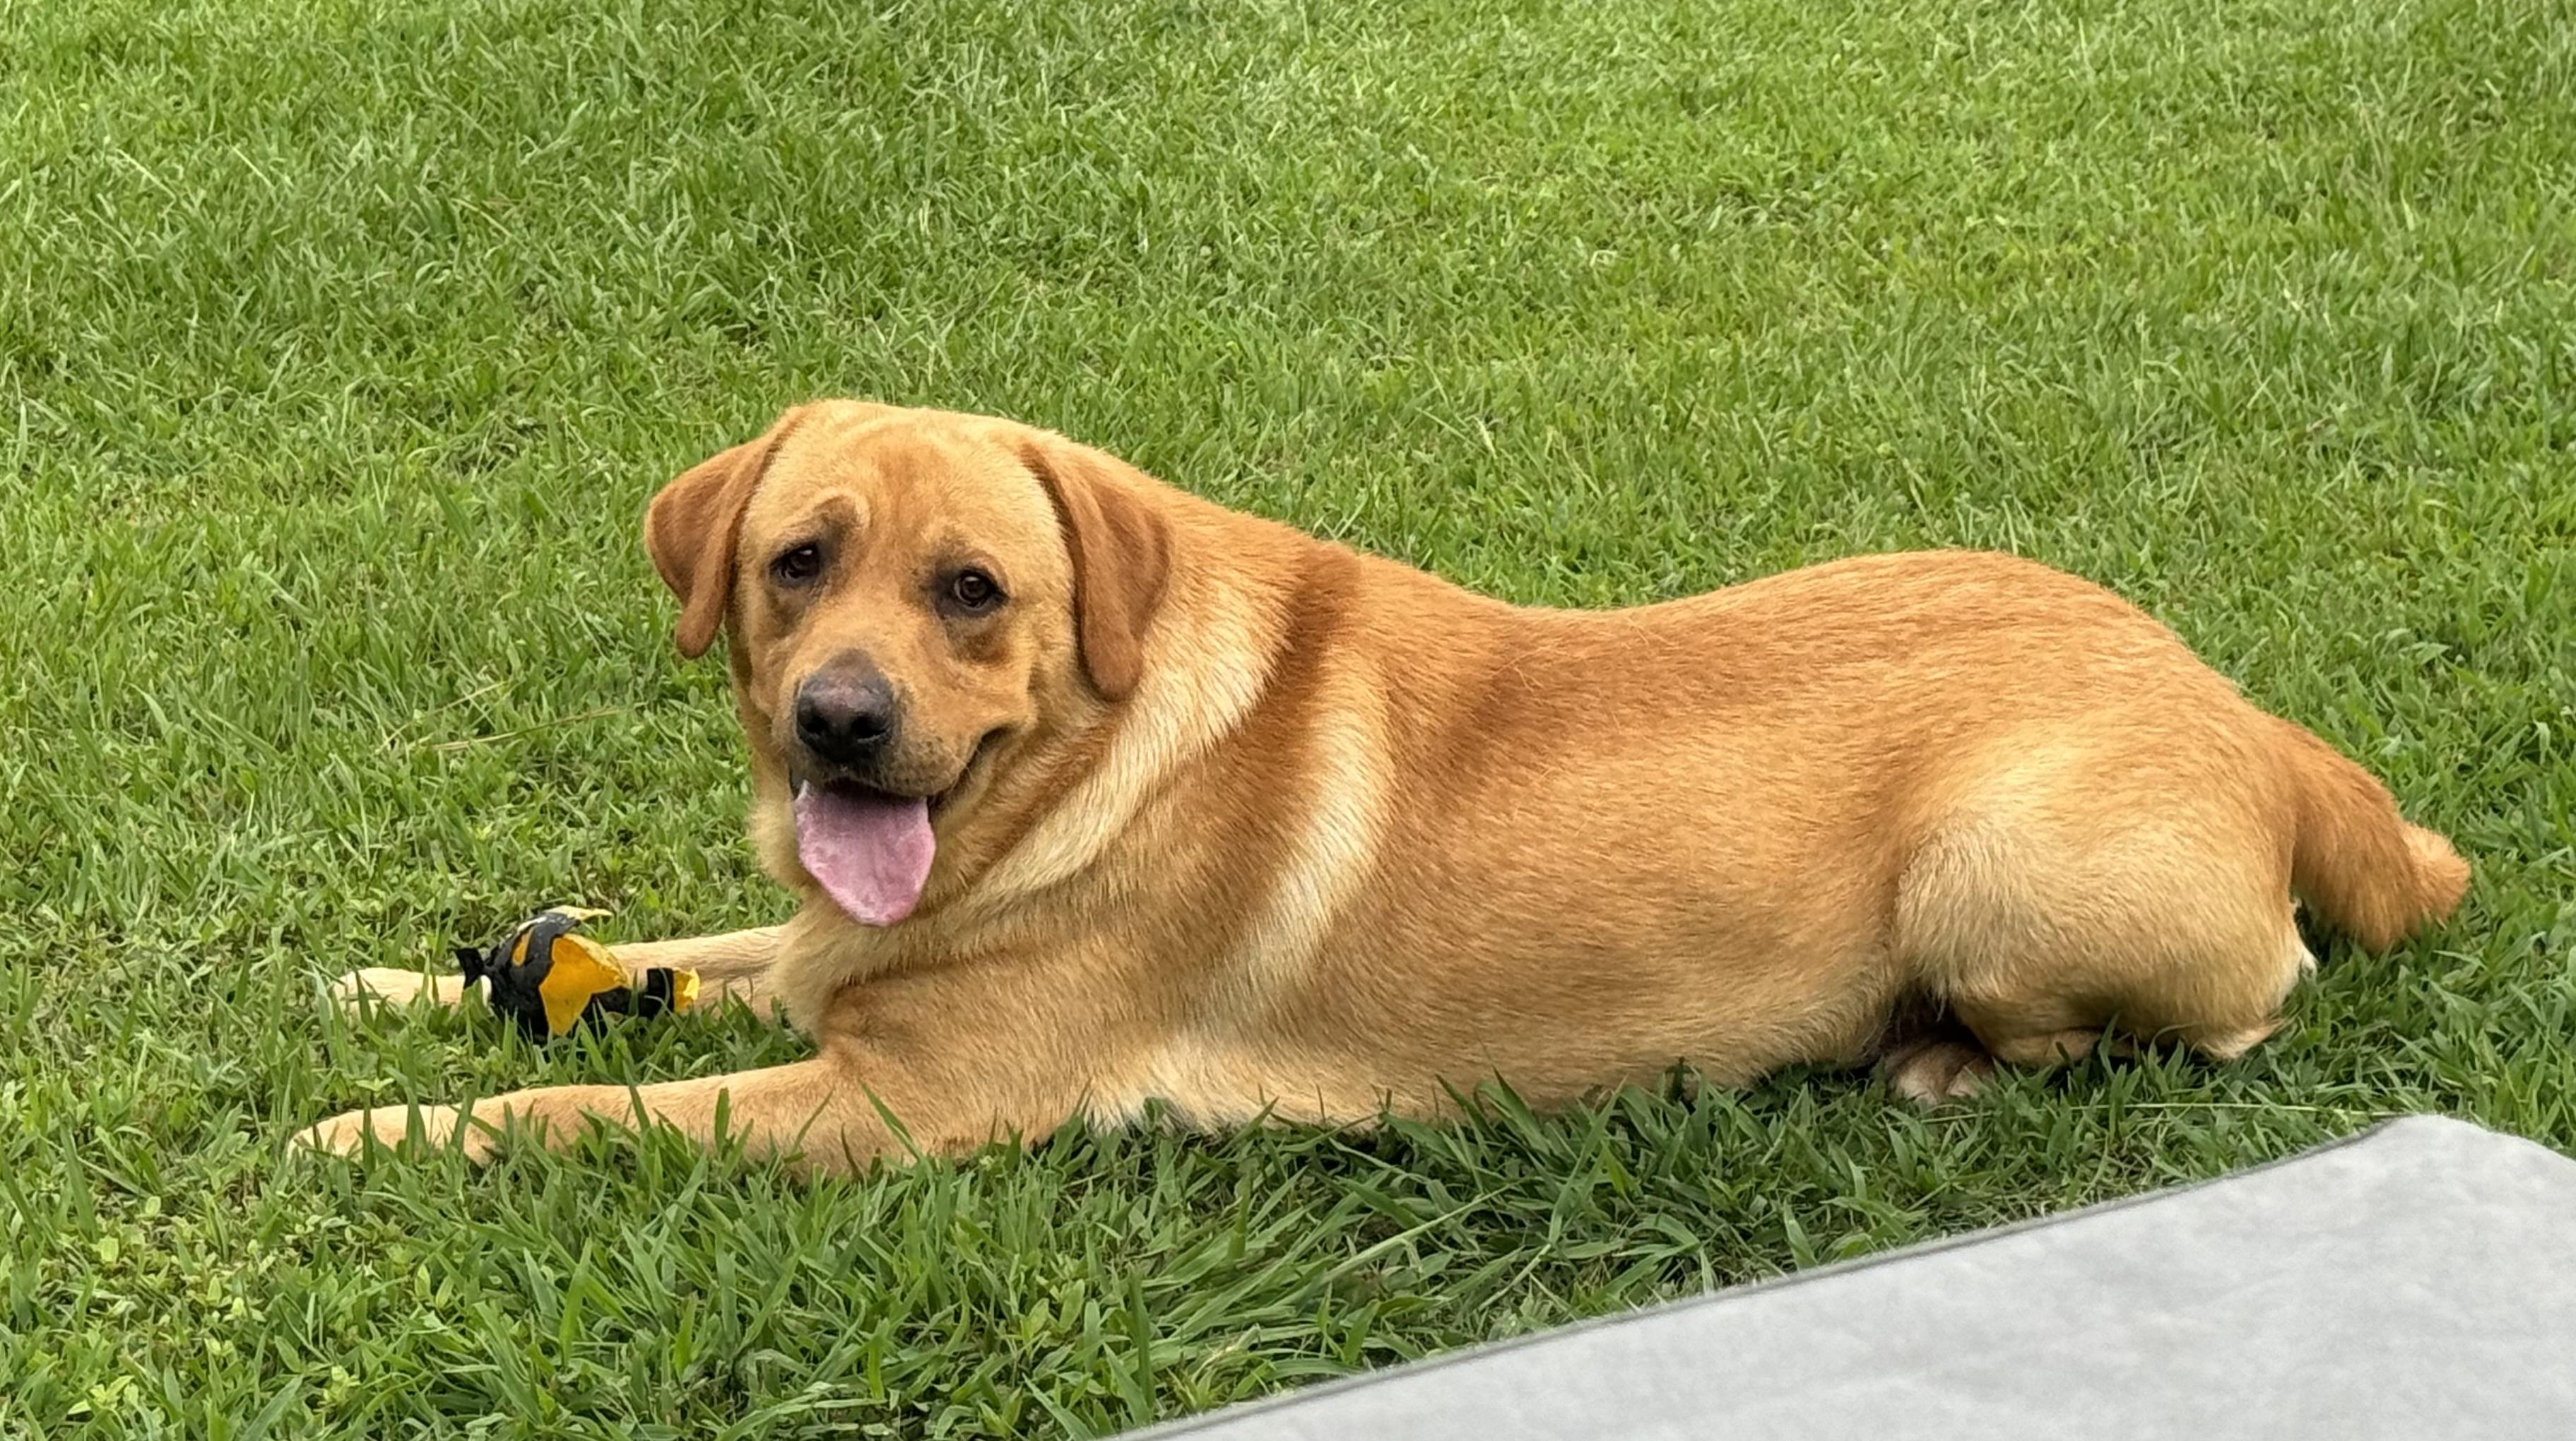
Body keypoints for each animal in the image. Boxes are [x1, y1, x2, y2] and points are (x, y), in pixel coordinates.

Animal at [308, 401, 2469, 1167]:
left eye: (970, 591)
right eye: (794, 560)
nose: (839, 720)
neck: (1075, 771)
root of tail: (2240, 706)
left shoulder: (897, 1108)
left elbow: (586, 1099)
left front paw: (383, 1126)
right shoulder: (833, 965)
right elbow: (682, 955)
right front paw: (390, 988)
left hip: (1999, 870)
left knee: (2242, 1008)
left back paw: (1938, 1059)